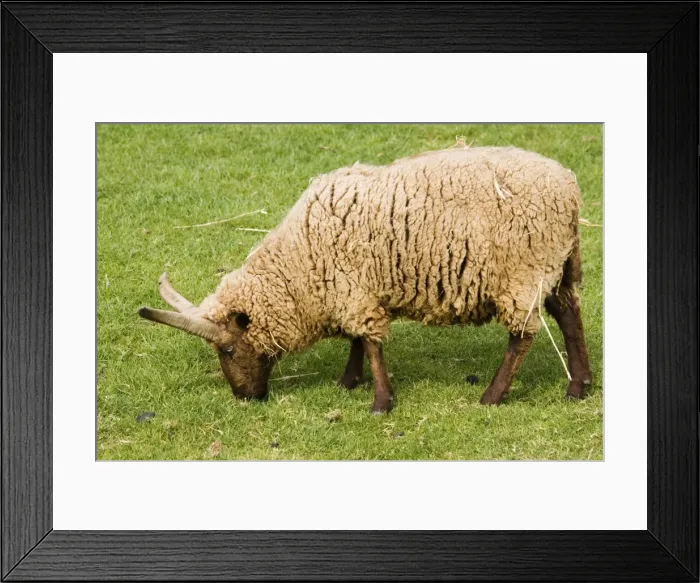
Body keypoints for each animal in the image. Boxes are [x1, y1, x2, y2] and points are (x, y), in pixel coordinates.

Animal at [139, 146, 592, 413]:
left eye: (229, 349)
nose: (244, 398)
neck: (299, 264)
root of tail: (569, 185)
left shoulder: (353, 291)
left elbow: (371, 344)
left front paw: (379, 402)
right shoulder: (354, 289)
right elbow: (358, 340)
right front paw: (348, 382)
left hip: (523, 272)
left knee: (523, 335)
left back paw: (492, 397)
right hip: (554, 265)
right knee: (569, 314)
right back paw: (579, 387)